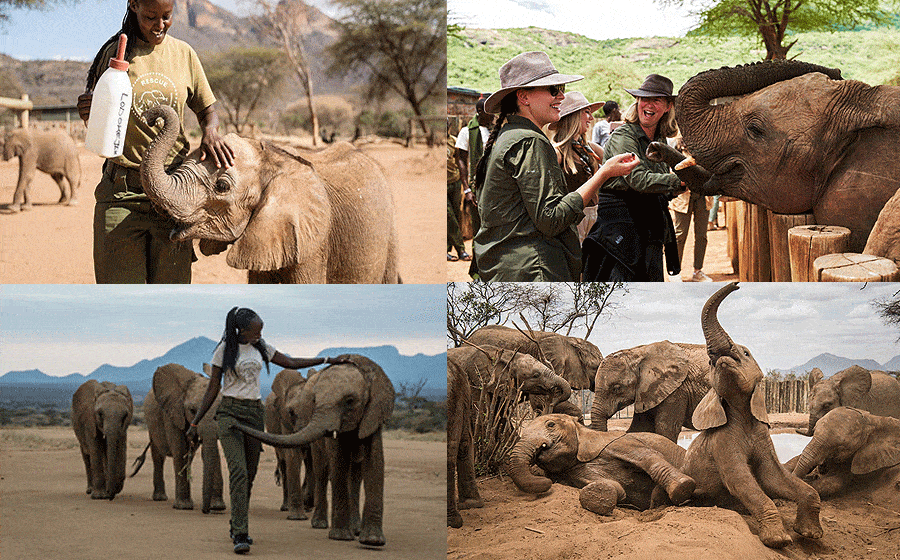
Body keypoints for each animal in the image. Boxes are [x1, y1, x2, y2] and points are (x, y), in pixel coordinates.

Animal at [130, 363, 225, 513]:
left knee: (188, 457)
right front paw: (183, 507)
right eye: (192, 410)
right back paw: (160, 498)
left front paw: (218, 507)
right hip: (151, 423)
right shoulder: (173, 412)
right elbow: (180, 450)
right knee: (158, 456)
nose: (206, 510)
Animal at [233, 354, 394, 546]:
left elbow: (374, 461)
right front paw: (339, 536)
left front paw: (372, 541)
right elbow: (329, 461)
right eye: (291, 412)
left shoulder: (372, 414)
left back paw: (353, 529)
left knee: (352, 474)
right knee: (319, 470)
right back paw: (316, 521)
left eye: (350, 401)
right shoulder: (285, 421)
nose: (234, 424)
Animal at [506, 414, 695, 516]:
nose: (546, 482)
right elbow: (611, 485)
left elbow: (649, 457)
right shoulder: (573, 472)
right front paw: (603, 492)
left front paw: (682, 488)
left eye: (551, 424)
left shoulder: (622, 442)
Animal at [682, 282, 823, 549]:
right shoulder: (721, 442)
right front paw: (779, 540)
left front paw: (811, 534)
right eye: (710, 363)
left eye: (746, 353)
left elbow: (772, 477)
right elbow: (741, 480)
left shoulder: (761, 434)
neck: (742, 414)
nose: (737, 285)